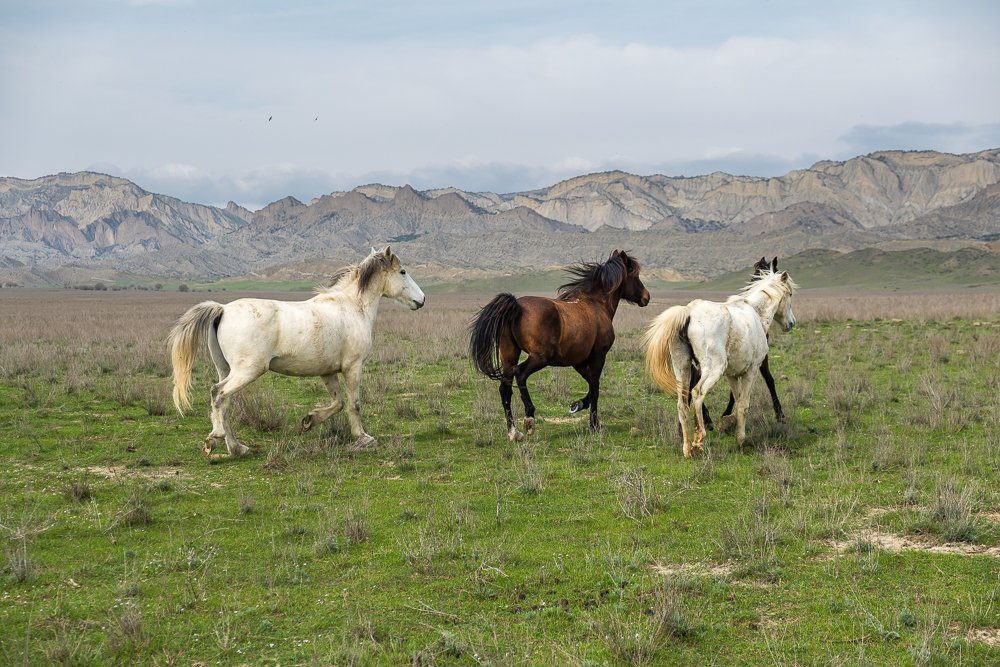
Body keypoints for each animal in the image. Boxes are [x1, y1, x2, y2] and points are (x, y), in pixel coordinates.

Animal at [168, 247, 425, 457]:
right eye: (402, 271)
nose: (422, 299)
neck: (353, 308)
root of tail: (222, 310)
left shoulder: (327, 371)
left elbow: (338, 403)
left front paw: (309, 421)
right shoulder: (353, 366)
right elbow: (354, 404)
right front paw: (363, 438)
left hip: (227, 369)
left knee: (224, 402)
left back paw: (236, 448)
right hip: (247, 370)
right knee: (218, 394)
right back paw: (216, 439)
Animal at [469, 250, 650, 441]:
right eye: (635, 275)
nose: (646, 297)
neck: (596, 305)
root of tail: (516, 306)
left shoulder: (578, 361)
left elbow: (591, 384)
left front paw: (577, 405)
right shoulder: (598, 356)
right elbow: (595, 389)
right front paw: (594, 425)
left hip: (509, 356)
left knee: (505, 388)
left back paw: (514, 432)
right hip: (540, 357)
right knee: (521, 374)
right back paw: (529, 419)